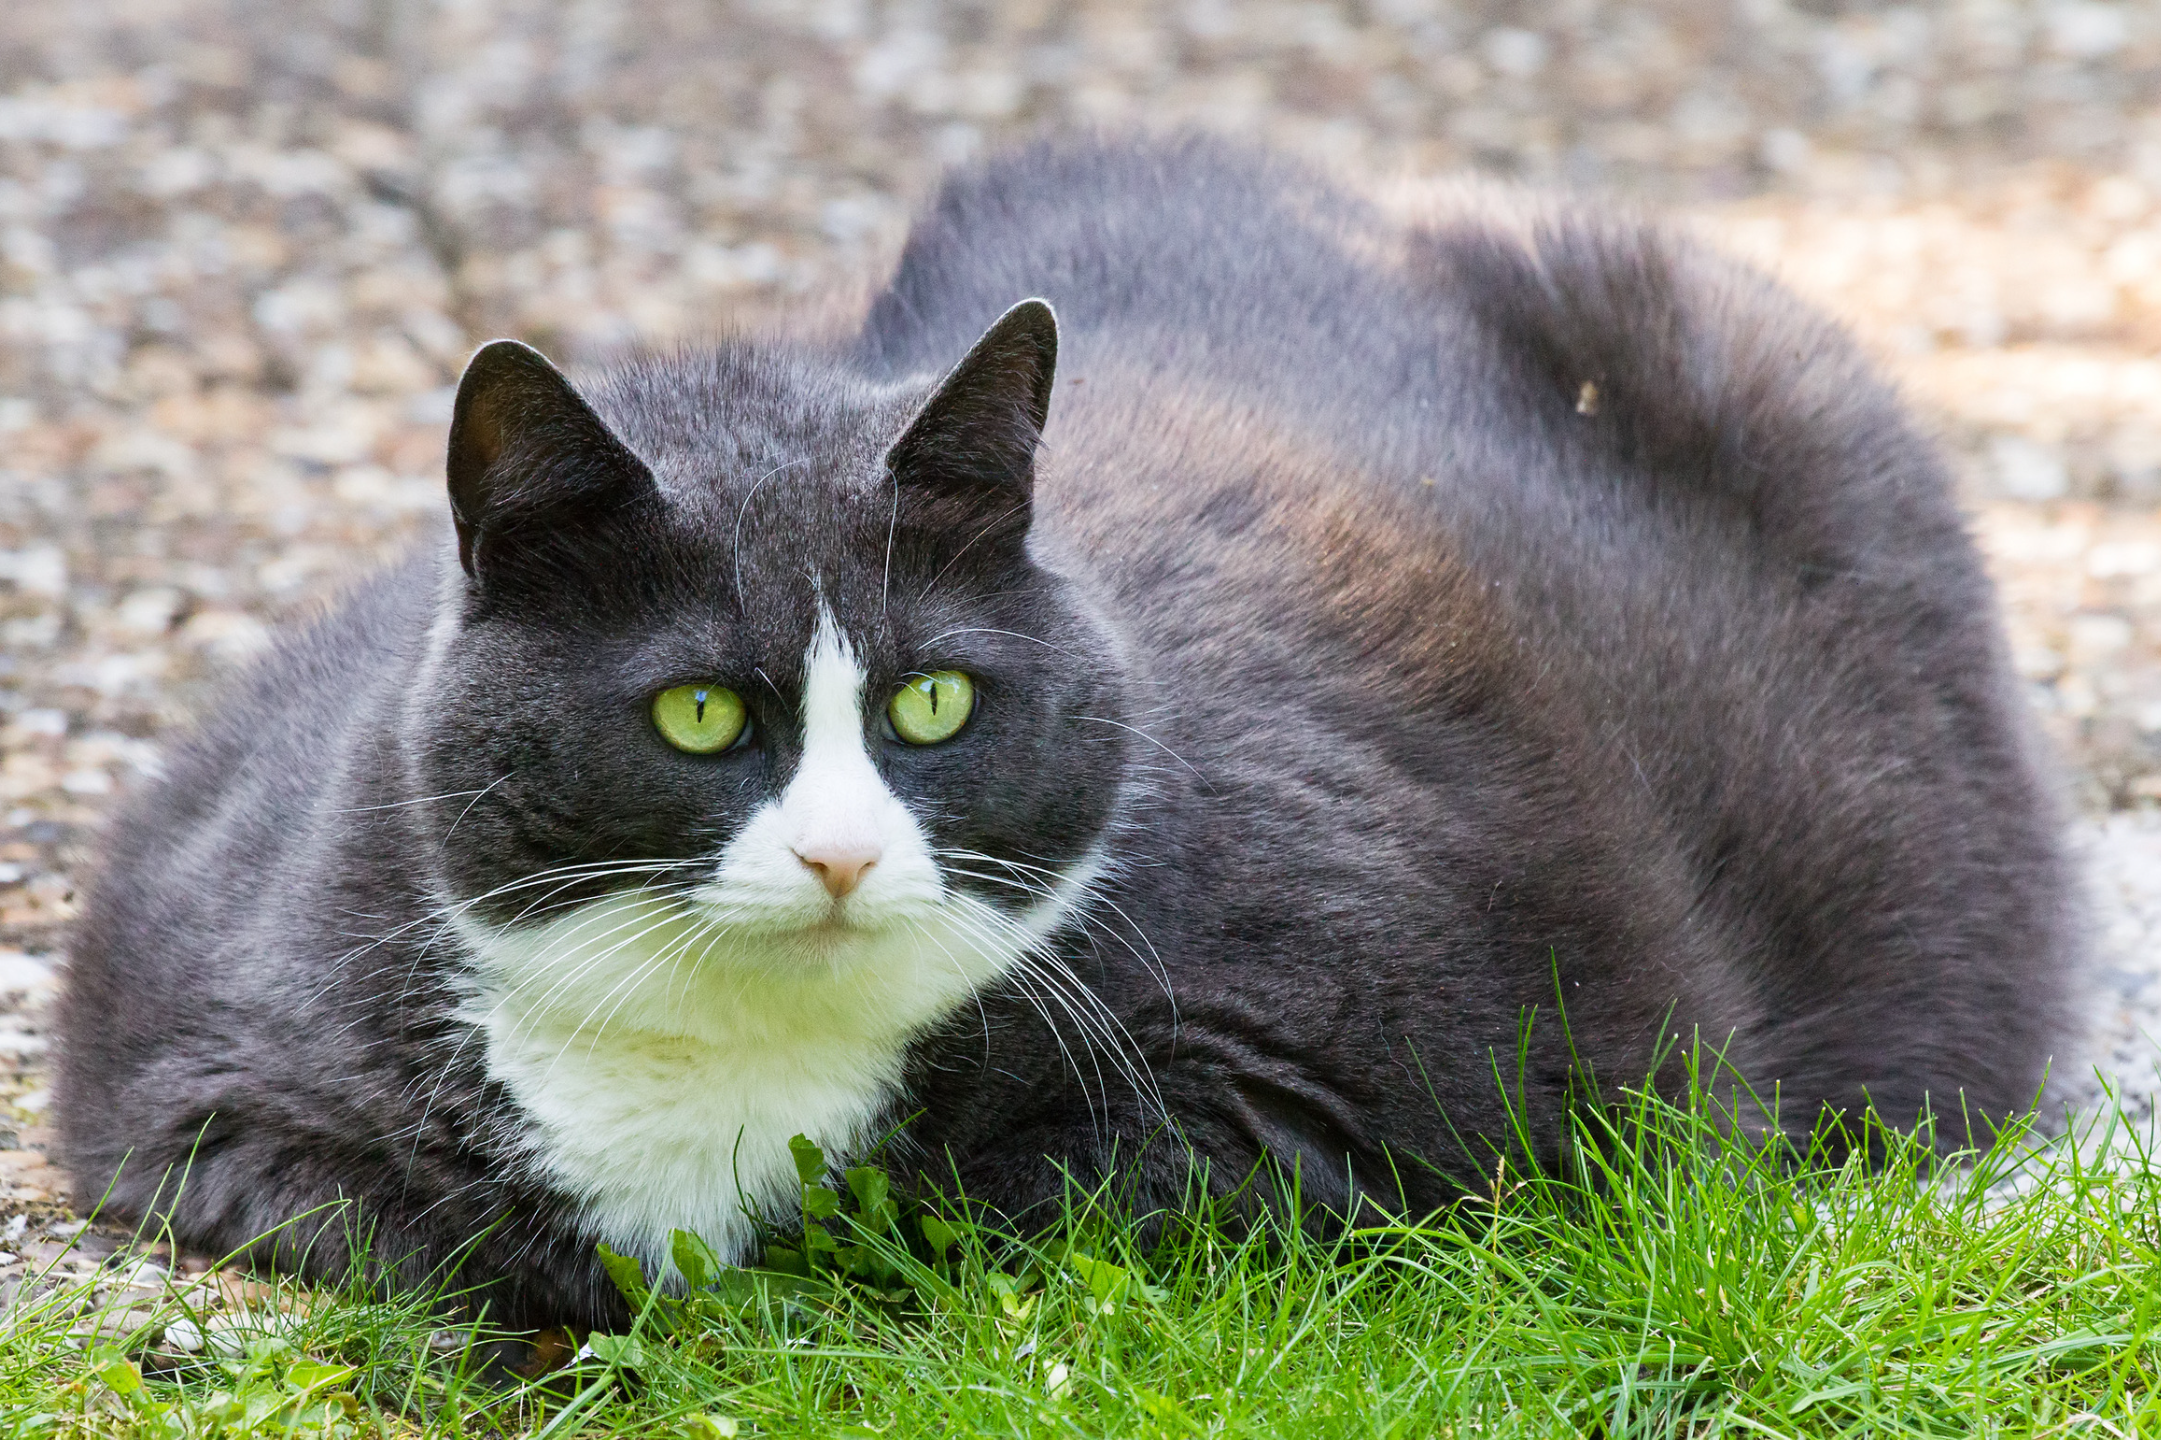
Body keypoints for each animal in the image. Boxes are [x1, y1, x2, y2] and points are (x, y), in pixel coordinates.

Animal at [50, 134, 2074, 1323]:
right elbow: (427, 1224)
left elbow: (1007, 1209)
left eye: (934, 698)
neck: (736, 1065)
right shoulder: (198, 1061)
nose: (841, 853)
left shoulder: (1379, 1069)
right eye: (699, 712)